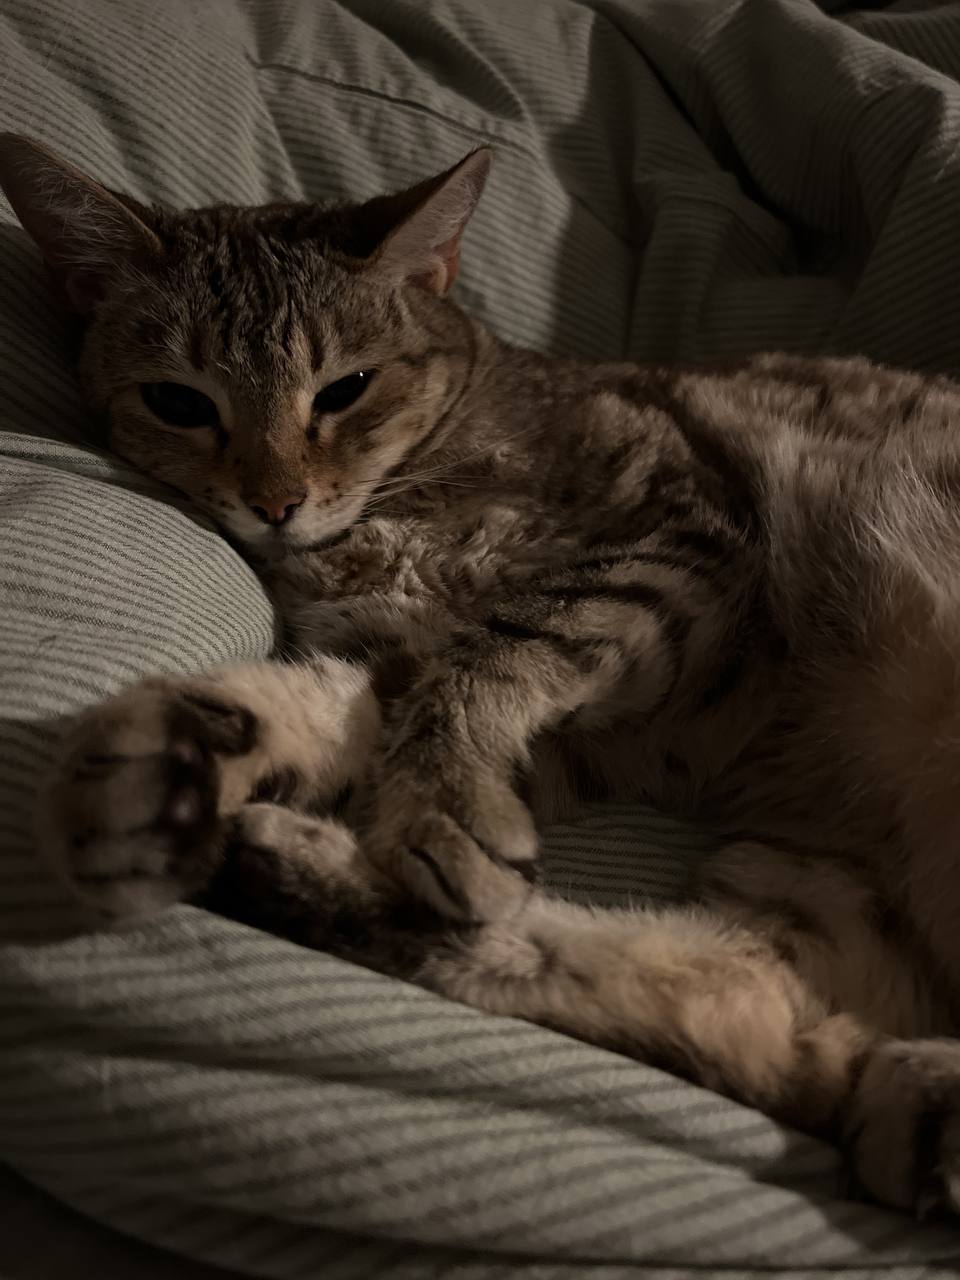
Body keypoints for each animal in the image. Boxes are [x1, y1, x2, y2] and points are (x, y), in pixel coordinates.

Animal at [1, 132, 960, 1218]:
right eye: (178, 401)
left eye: (346, 387)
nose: (275, 502)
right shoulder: (444, 665)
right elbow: (353, 699)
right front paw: (181, 754)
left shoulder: (675, 544)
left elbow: (489, 659)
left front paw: (439, 808)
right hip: (823, 893)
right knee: (743, 1016)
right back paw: (272, 858)